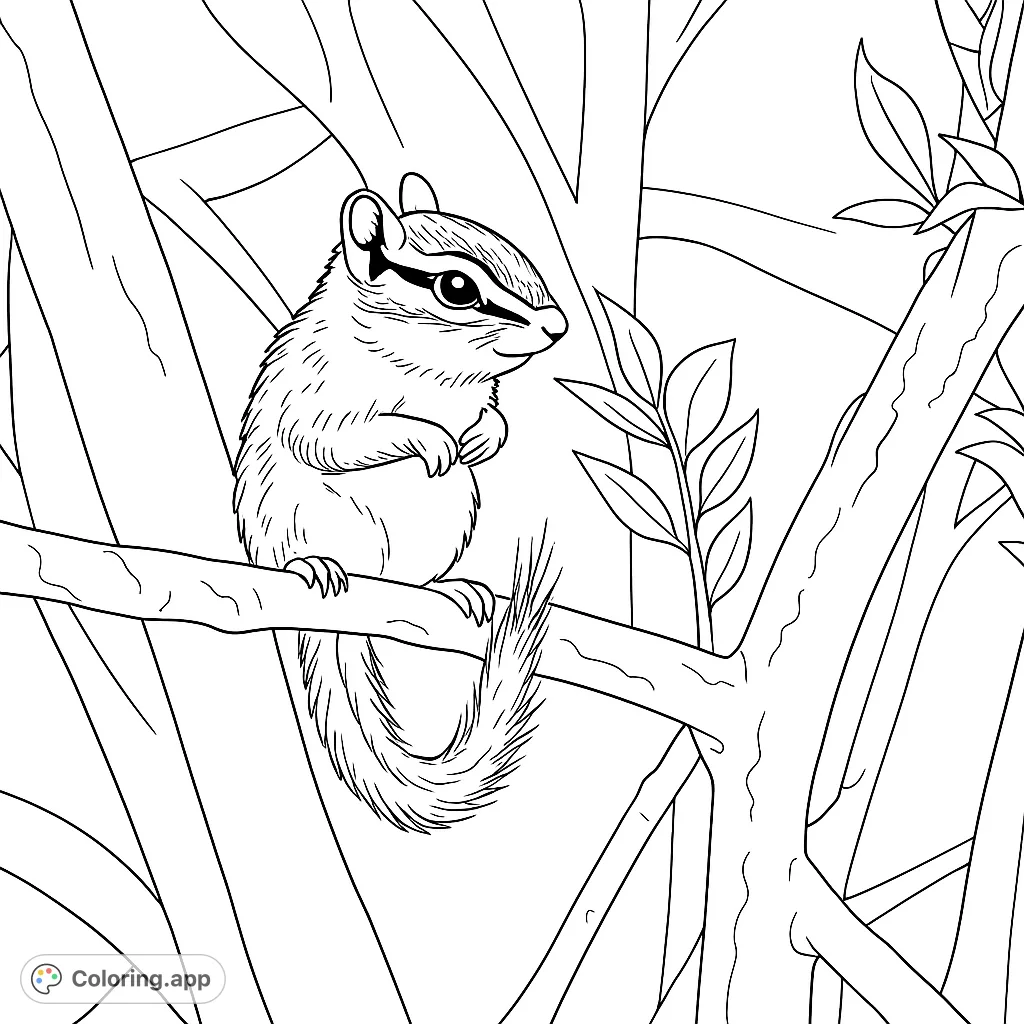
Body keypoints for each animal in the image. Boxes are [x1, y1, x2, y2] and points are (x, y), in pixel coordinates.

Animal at [234, 172, 567, 832]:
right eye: (457, 287)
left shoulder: (483, 400)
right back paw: (316, 565)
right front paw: (431, 440)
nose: (558, 326)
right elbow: (335, 438)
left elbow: (498, 423)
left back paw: (456, 590)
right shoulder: (321, 398)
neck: (433, 377)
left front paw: (478, 440)